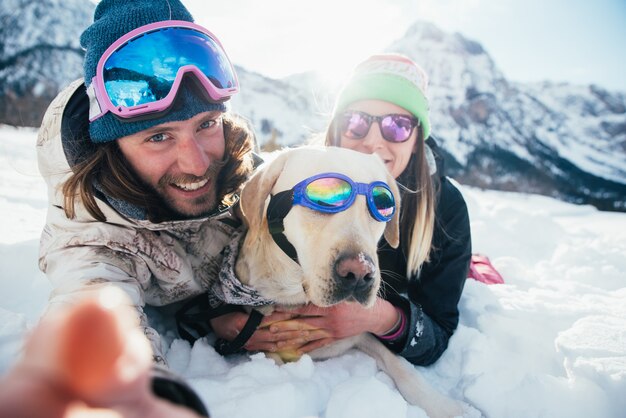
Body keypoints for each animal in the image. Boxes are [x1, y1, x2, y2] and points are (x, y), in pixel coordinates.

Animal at [233, 146, 464, 418]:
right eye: (322, 200)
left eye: (381, 206)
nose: (360, 273)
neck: (296, 295)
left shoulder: (362, 333)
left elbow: (401, 366)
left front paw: (442, 405)